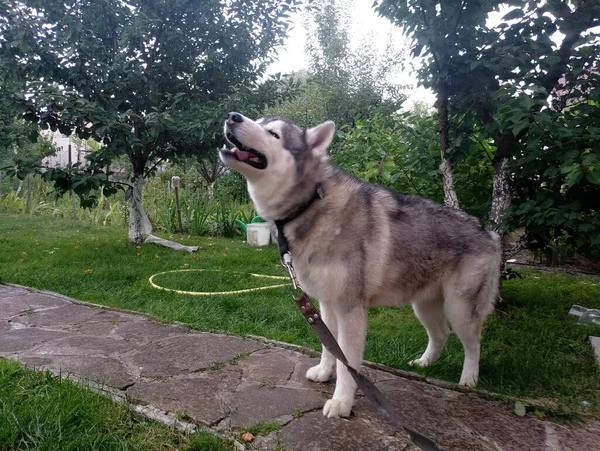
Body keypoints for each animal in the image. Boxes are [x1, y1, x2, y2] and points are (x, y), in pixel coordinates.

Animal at [220, 113, 502, 420]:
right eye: (258, 121)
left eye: (273, 134)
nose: (232, 116)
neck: (310, 203)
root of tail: (489, 232)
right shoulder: (326, 305)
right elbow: (329, 346)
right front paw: (324, 372)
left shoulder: (351, 310)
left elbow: (349, 363)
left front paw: (342, 403)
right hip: (423, 304)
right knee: (441, 334)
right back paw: (425, 363)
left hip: (460, 308)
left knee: (473, 343)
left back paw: (468, 381)